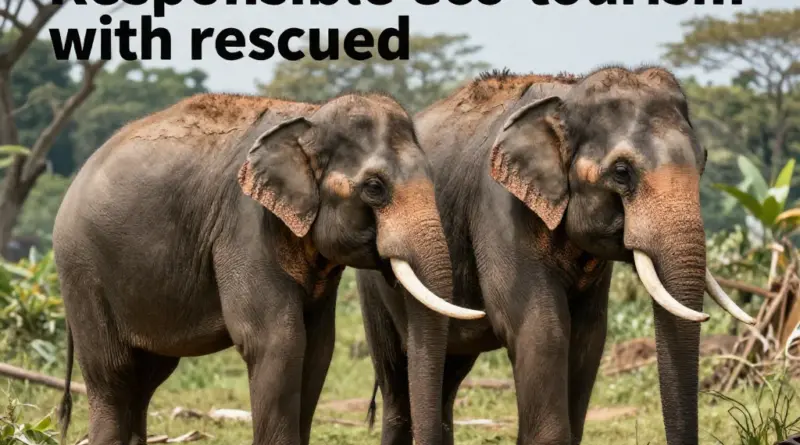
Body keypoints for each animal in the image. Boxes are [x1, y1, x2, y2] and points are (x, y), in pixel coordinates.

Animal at [51, 92, 484, 445]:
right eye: (374, 188)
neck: (310, 117)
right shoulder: (244, 225)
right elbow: (277, 339)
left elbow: (318, 346)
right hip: (82, 271)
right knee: (113, 375)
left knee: (146, 377)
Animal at [356, 66, 755, 445]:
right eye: (622, 172)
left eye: (703, 162)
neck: (567, 96)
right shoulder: (500, 208)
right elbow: (540, 327)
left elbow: (589, 334)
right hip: (373, 282)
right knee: (397, 385)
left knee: (447, 378)